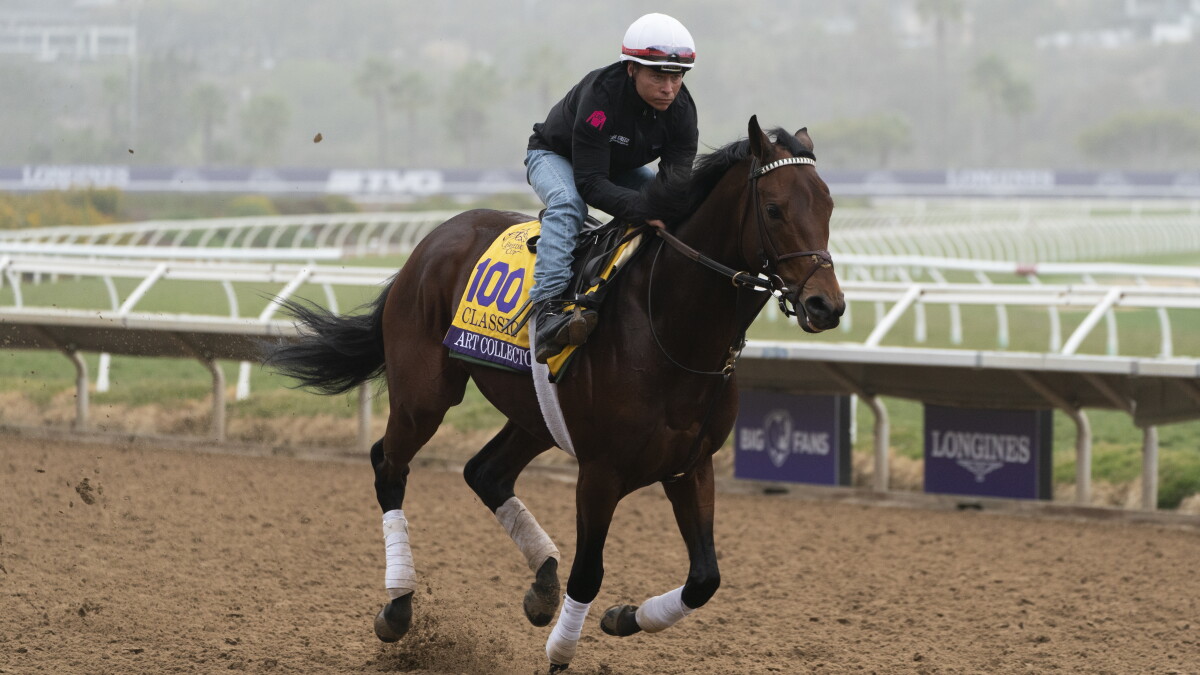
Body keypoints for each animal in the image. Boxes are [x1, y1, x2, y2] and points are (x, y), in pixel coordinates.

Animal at [265, 115, 844, 672]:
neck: (671, 328)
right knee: (389, 465)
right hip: (424, 394)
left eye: (829, 205)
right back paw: (398, 606)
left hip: (535, 414)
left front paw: (621, 617)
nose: (827, 305)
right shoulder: (600, 471)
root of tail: (431, 241)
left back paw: (542, 584)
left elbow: (706, 579)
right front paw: (562, 652)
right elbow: (589, 573)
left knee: (485, 472)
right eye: (773, 209)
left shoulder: (691, 465)